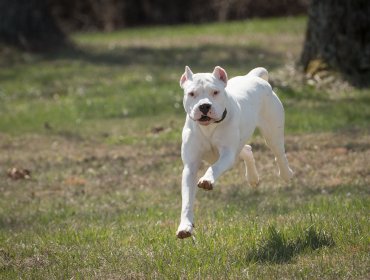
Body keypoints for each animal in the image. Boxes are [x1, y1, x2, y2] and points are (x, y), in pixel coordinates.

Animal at [177, 65, 294, 238]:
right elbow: (187, 200)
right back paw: (253, 178)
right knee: (247, 150)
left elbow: (215, 167)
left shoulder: (227, 154)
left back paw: (286, 174)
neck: (209, 128)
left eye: (215, 92)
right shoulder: (190, 166)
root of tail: (253, 77)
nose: (204, 106)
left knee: (279, 153)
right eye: (191, 93)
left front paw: (207, 180)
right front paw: (185, 226)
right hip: (240, 144)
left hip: (272, 132)